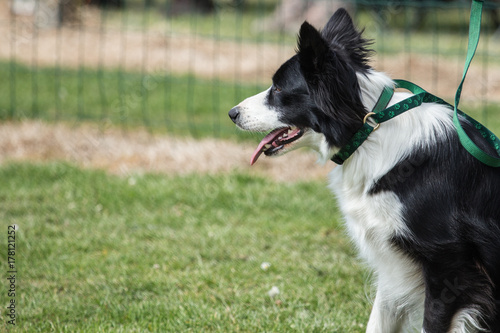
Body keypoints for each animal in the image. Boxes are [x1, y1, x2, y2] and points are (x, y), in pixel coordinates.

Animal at [229, 7, 500, 332]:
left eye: (279, 88)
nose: (232, 113)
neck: (367, 133)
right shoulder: (393, 263)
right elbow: (379, 320)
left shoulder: (450, 266)